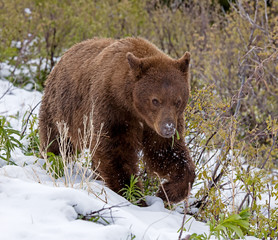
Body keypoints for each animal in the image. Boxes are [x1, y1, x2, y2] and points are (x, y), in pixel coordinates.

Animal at [39, 37, 195, 204]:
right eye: (155, 100)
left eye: (178, 101)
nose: (168, 128)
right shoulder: (112, 109)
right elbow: (115, 152)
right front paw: (134, 195)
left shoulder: (154, 126)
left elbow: (165, 152)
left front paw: (167, 191)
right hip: (60, 109)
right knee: (56, 142)